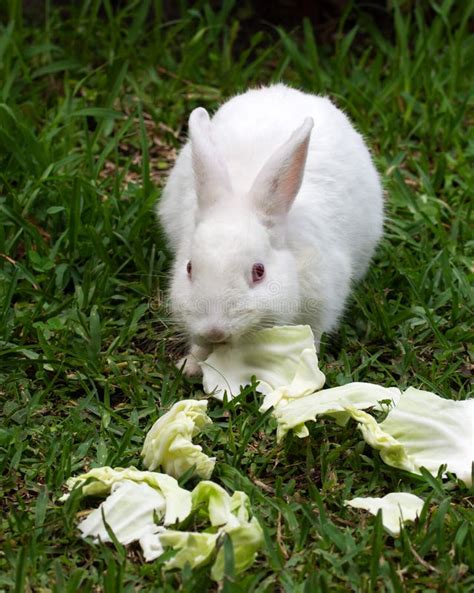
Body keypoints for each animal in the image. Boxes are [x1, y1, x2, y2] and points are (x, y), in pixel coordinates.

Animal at [157, 83, 384, 374]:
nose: (215, 331)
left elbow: (314, 333)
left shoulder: (321, 301)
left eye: (259, 271)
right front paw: (190, 366)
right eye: (189, 268)